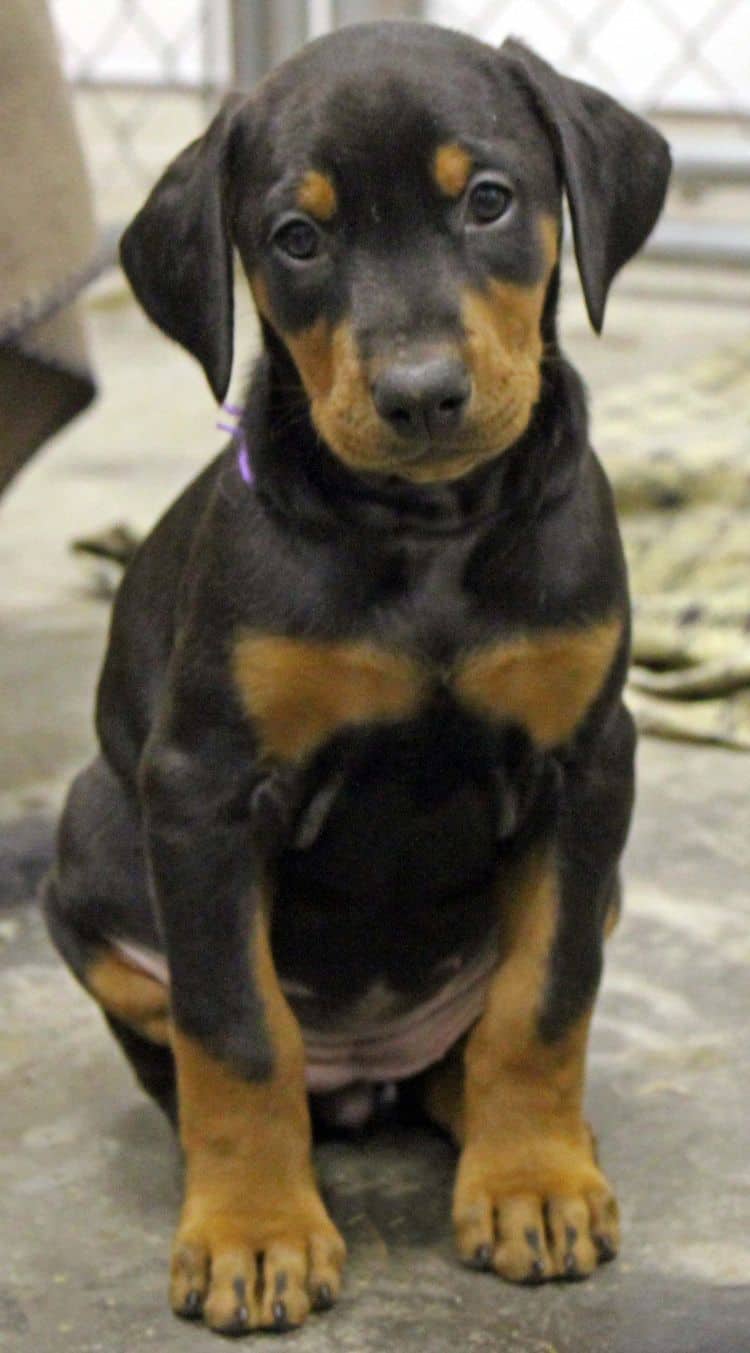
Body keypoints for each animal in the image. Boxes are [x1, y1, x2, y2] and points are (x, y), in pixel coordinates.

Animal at [43, 18, 668, 1331]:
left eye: (488, 200)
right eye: (298, 236)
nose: (422, 397)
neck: (425, 532)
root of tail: (367, 1074)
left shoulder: (592, 762)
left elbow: (546, 997)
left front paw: (533, 1183)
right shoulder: (204, 788)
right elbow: (237, 1030)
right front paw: (253, 1234)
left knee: (470, 1047)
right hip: (86, 841)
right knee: (198, 1051)